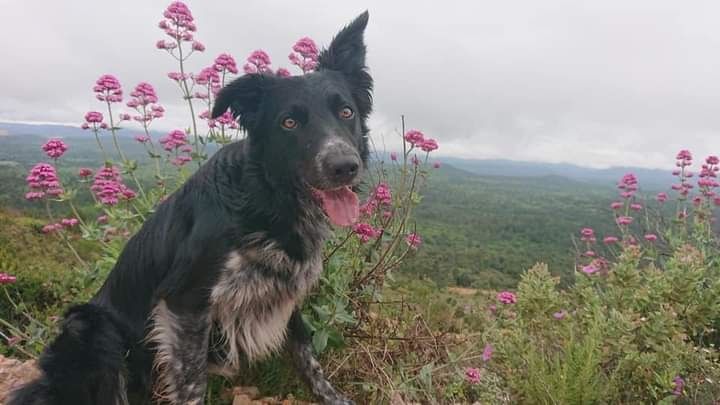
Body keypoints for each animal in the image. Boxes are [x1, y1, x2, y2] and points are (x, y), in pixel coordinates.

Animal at [9, 11, 372, 402]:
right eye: (289, 122)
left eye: (346, 112)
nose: (345, 166)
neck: (265, 199)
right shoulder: (185, 303)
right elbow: (192, 382)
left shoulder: (283, 288)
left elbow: (306, 352)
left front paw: (331, 395)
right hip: (93, 329)